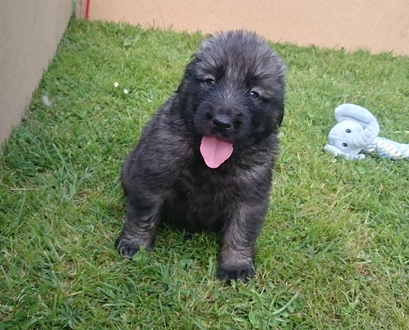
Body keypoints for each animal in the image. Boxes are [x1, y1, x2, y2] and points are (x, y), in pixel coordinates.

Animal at [116, 30, 286, 282]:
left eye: (254, 93)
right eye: (210, 81)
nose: (221, 122)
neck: (210, 162)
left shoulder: (249, 198)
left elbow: (241, 232)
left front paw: (236, 265)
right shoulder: (152, 177)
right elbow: (143, 215)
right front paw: (134, 244)